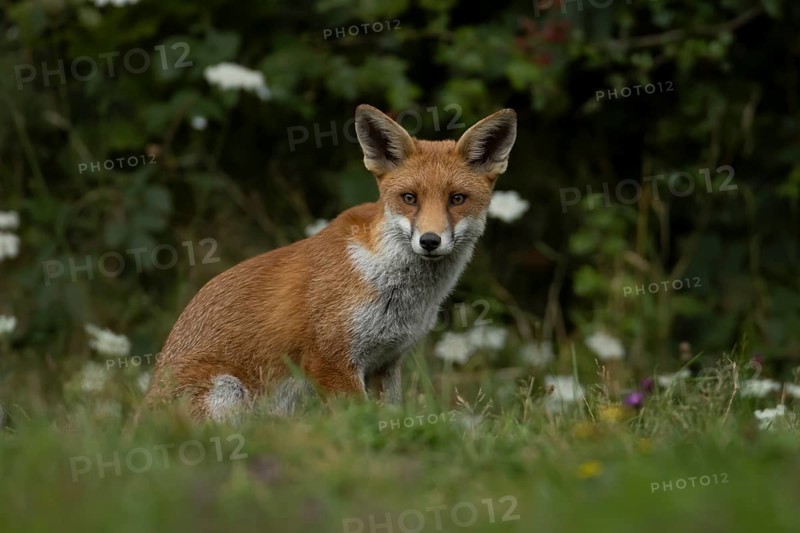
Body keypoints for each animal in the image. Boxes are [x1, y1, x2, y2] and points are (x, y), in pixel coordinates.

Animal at [143, 104, 517, 421]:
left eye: (457, 199)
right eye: (409, 198)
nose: (429, 241)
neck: (395, 290)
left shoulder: (386, 362)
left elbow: (391, 413)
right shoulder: (330, 360)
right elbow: (360, 418)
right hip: (225, 390)